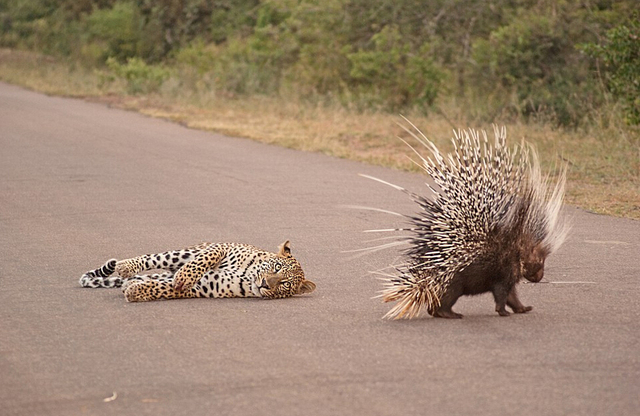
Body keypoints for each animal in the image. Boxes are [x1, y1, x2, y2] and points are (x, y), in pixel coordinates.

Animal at [81, 240, 316, 302]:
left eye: (285, 284)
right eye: (276, 267)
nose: (265, 284)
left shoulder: (206, 287)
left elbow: (165, 289)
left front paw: (136, 292)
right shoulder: (223, 246)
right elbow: (203, 261)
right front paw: (185, 276)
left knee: (158, 277)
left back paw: (132, 283)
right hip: (184, 252)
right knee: (153, 258)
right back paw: (126, 266)